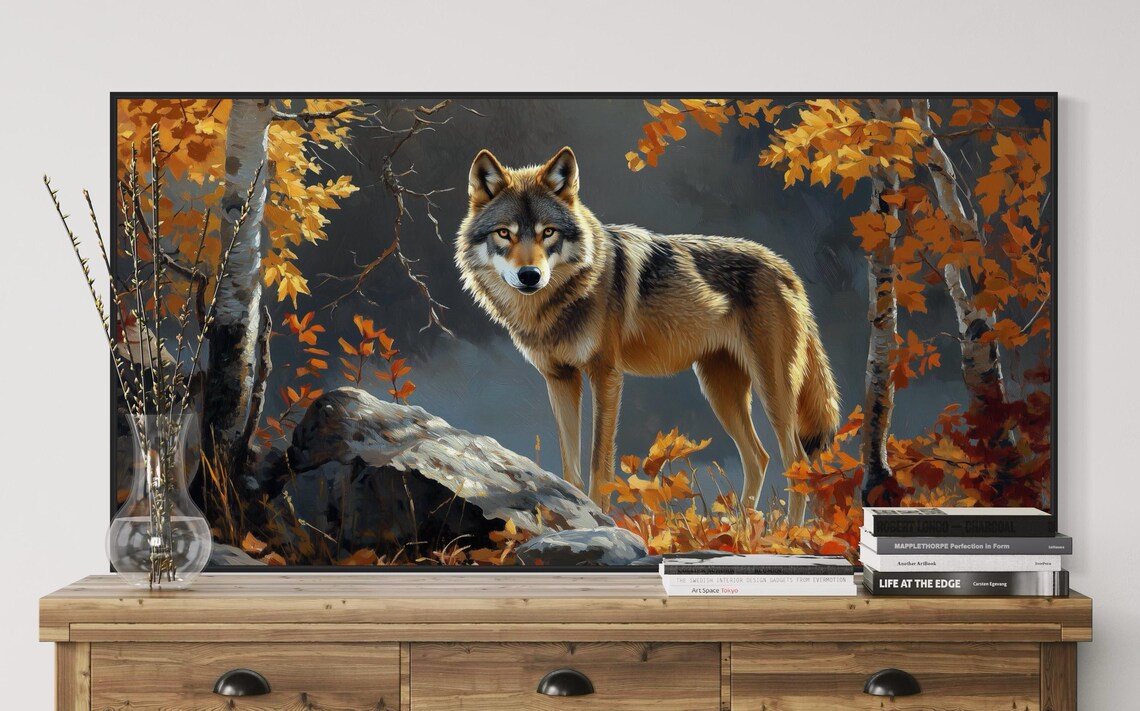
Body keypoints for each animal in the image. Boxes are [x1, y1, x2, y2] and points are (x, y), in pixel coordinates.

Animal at [455, 147, 840, 525]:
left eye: (548, 232)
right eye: (504, 234)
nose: (530, 275)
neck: (556, 304)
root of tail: (785, 267)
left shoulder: (606, 375)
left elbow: (599, 461)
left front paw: (599, 515)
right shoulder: (559, 377)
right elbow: (571, 464)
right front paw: (572, 512)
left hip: (771, 390)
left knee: (796, 461)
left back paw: (787, 535)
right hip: (721, 391)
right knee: (758, 458)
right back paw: (744, 529)